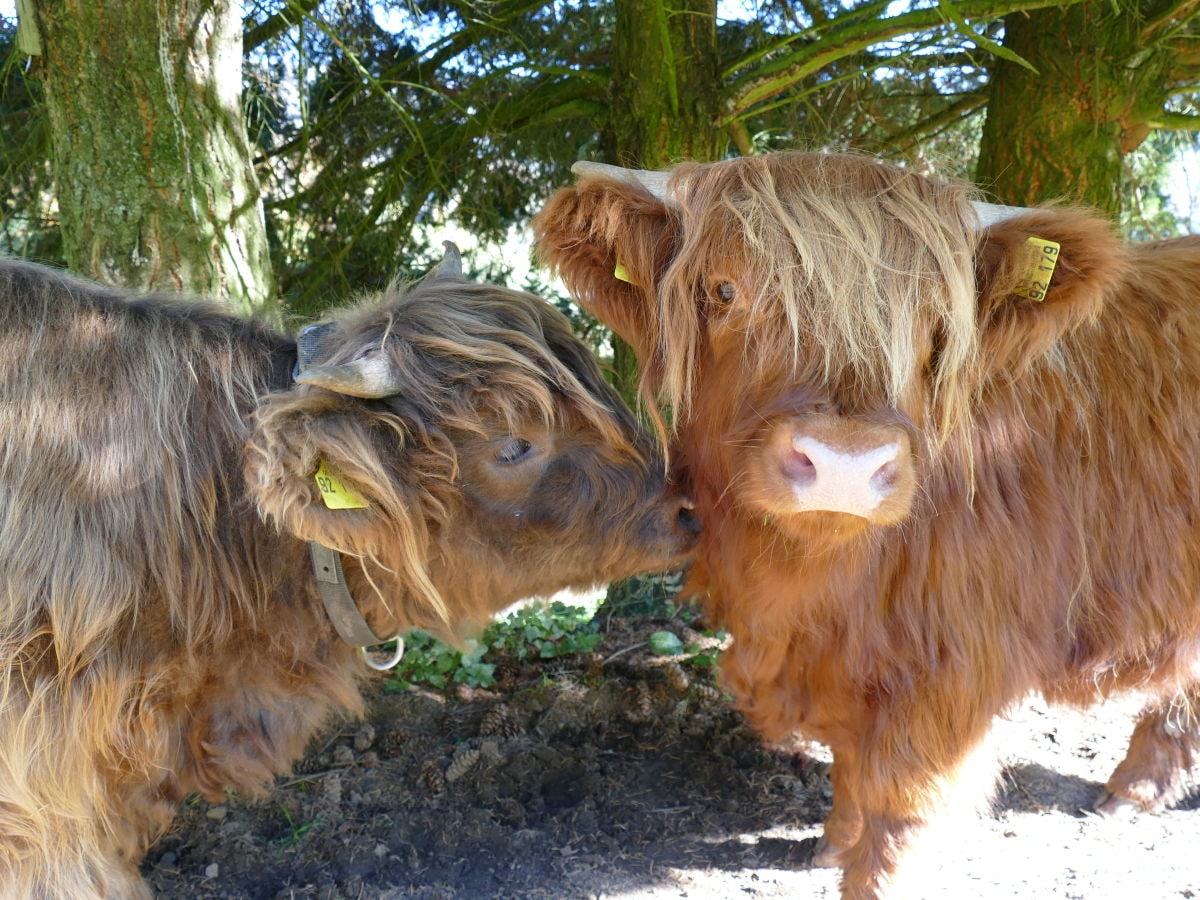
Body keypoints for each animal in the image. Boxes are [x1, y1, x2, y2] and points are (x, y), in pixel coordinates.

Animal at [540, 151, 1200, 897]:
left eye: (938, 321)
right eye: (724, 290)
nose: (845, 464)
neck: (808, 596)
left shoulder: (953, 668)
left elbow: (900, 803)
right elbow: (852, 764)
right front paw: (834, 841)